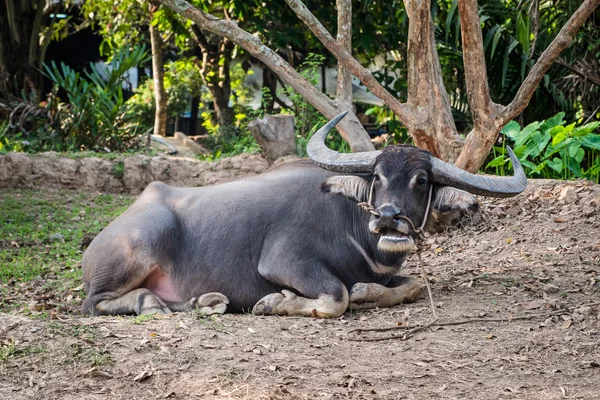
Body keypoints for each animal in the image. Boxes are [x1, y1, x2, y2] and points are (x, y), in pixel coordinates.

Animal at [82, 112, 528, 318]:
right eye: (378, 177)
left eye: (421, 180)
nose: (388, 217)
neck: (354, 229)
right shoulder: (285, 261)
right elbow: (336, 295)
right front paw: (275, 302)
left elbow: (413, 284)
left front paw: (369, 291)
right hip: (141, 241)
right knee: (94, 302)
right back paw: (150, 304)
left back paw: (206, 301)